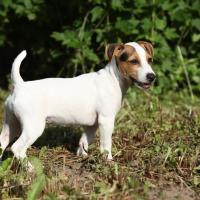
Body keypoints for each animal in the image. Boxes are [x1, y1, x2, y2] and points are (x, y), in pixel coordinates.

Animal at [0, 41, 155, 164]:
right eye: (133, 61)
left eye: (149, 60)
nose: (152, 76)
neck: (113, 78)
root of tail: (20, 85)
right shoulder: (106, 120)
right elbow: (106, 145)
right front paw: (108, 161)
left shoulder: (92, 125)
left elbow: (84, 141)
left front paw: (83, 156)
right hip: (33, 127)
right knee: (17, 148)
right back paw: (30, 168)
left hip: (11, 124)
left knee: (3, 142)